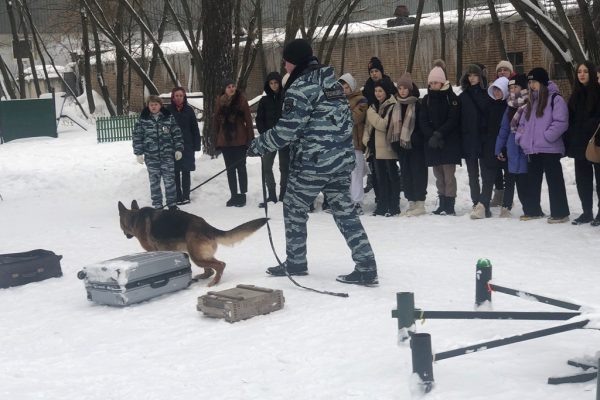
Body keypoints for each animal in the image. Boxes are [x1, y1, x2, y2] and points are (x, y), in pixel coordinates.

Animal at [118, 200, 268, 284]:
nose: (126, 236)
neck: (134, 217)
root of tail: (207, 226)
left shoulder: (152, 250)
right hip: (199, 254)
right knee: (211, 269)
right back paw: (203, 277)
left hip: (196, 256)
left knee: (220, 265)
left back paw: (214, 283)